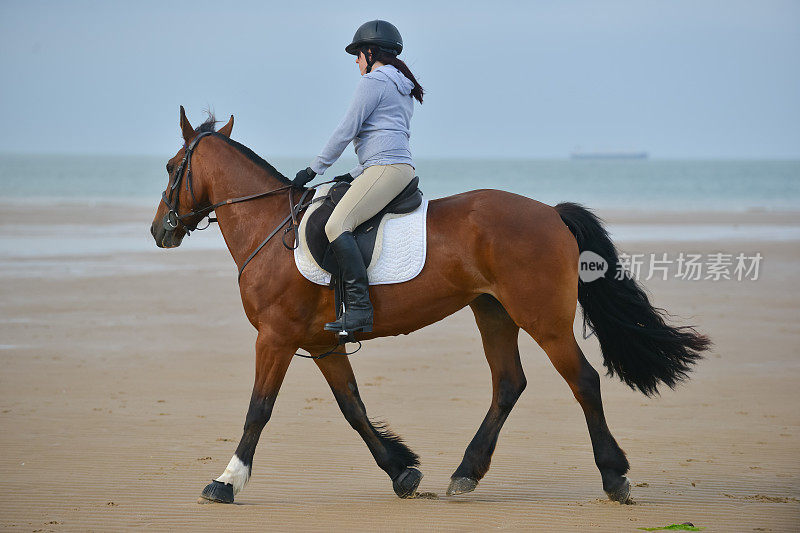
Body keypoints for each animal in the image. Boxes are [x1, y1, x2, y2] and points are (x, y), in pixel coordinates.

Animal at [148, 108, 708, 502]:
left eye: (173, 167)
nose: (159, 231)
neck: (271, 228)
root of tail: (550, 212)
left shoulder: (276, 337)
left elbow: (258, 409)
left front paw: (226, 482)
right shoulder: (323, 344)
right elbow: (353, 408)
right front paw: (402, 472)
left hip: (543, 320)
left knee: (584, 381)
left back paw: (614, 476)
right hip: (493, 313)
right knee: (508, 384)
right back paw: (465, 473)